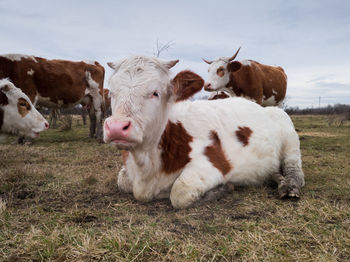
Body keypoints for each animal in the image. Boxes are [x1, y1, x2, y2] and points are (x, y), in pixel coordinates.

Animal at [103, 55, 304, 209]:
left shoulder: (214, 162)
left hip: (290, 137)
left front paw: (223, 189)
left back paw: (290, 186)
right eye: (112, 93)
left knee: (294, 168)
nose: (116, 127)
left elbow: (180, 192)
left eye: (155, 93)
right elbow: (122, 181)